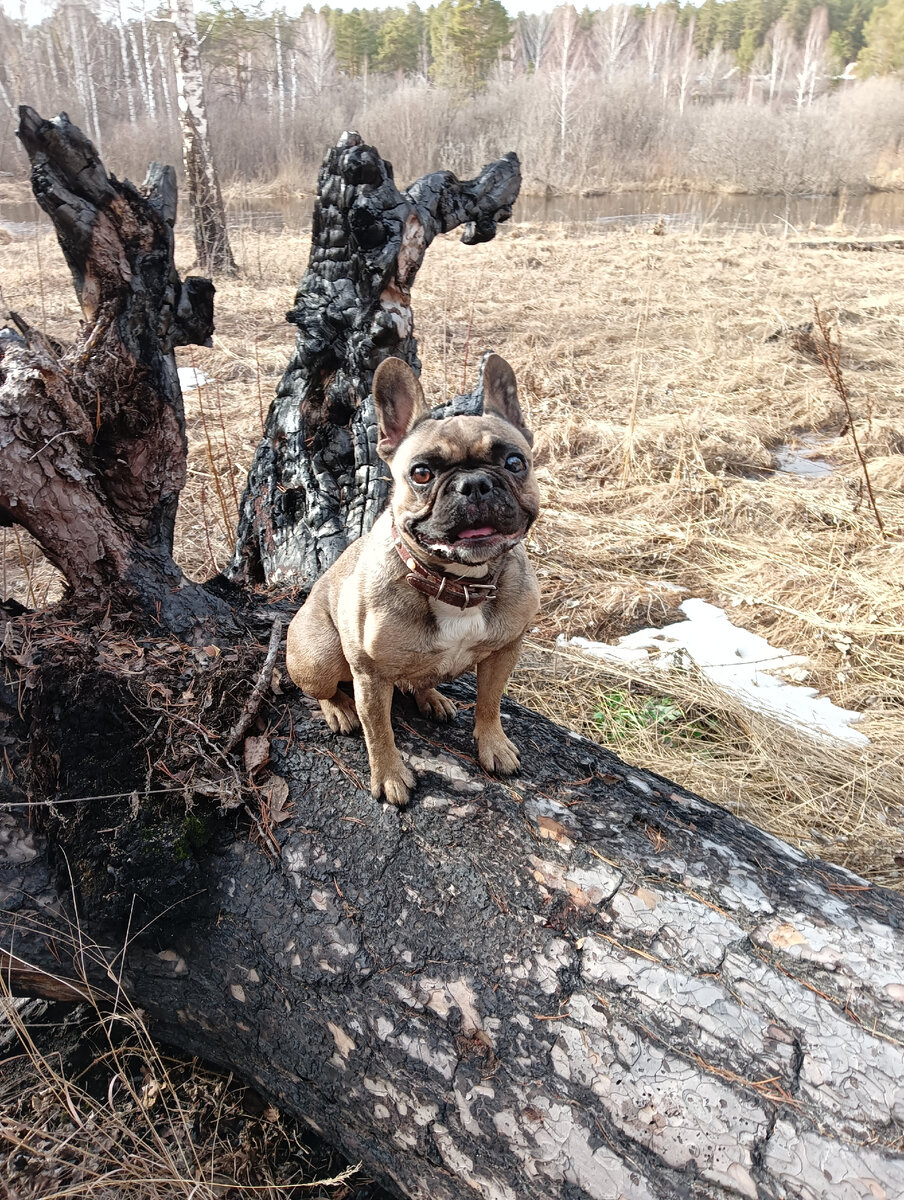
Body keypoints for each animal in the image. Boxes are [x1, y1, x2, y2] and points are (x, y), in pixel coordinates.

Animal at [285, 352, 540, 806]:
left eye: (515, 463)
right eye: (421, 473)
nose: (474, 484)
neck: (458, 583)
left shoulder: (506, 649)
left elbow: (490, 702)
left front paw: (493, 745)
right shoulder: (371, 676)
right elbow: (379, 731)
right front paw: (389, 776)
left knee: (420, 678)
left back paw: (432, 698)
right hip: (320, 655)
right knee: (321, 688)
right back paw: (339, 709)